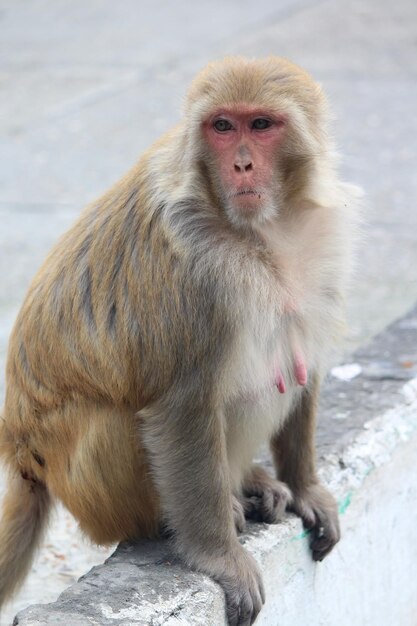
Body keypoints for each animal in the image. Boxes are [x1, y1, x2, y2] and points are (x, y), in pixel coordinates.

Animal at [0, 56, 358, 620]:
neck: (263, 227)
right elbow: (183, 405)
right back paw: (196, 512)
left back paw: (251, 483)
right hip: (90, 483)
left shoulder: (325, 242)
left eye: (261, 125)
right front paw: (220, 558)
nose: (241, 165)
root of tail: (20, 452)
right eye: (222, 126)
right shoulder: (199, 269)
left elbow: (307, 358)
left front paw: (307, 486)